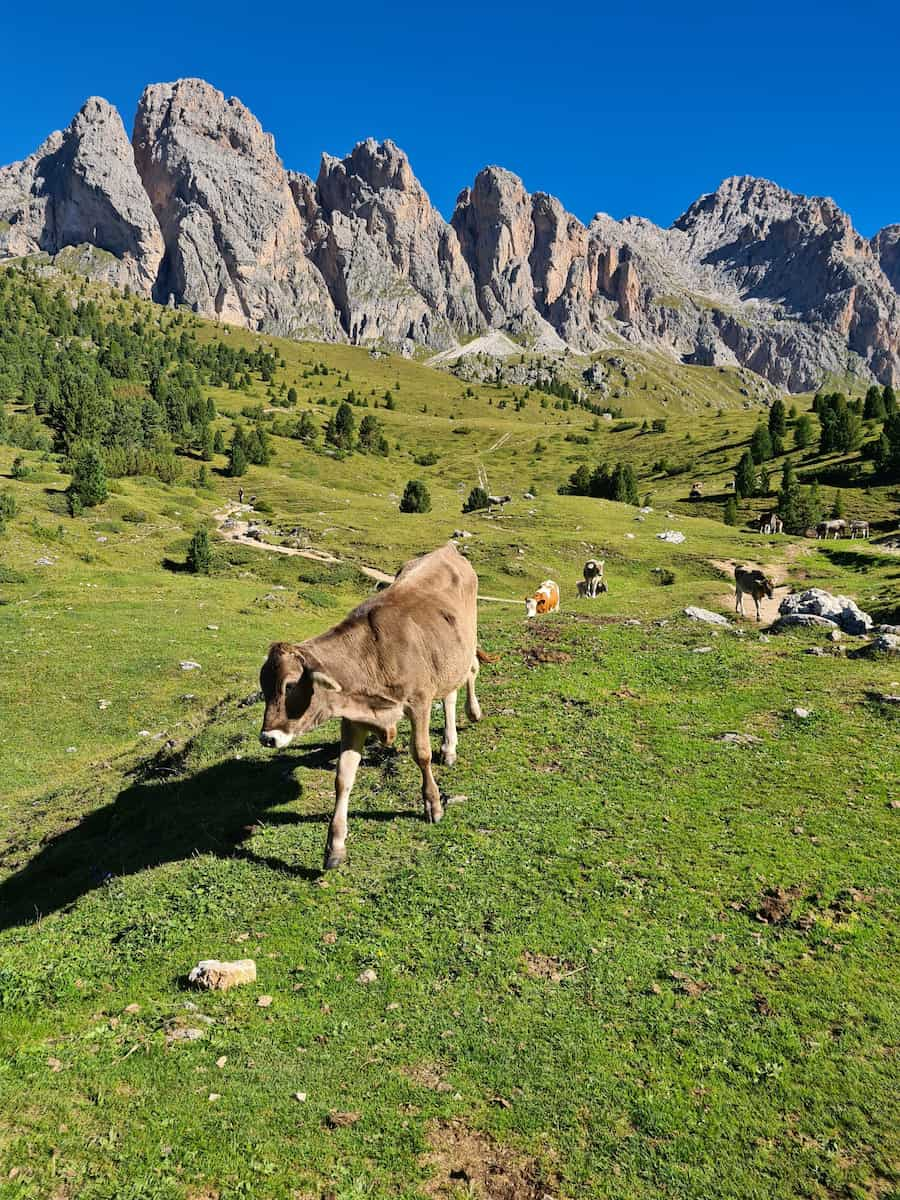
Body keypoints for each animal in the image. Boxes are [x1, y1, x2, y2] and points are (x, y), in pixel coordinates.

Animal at [256, 547, 494, 873]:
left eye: (290, 685)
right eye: (264, 687)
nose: (268, 737)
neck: (372, 656)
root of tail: (447, 549)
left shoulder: (419, 701)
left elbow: (422, 754)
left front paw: (433, 804)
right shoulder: (352, 720)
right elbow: (343, 777)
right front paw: (334, 847)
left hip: (465, 642)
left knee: (469, 673)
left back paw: (466, 720)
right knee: (449, 694)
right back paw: (449, 745)